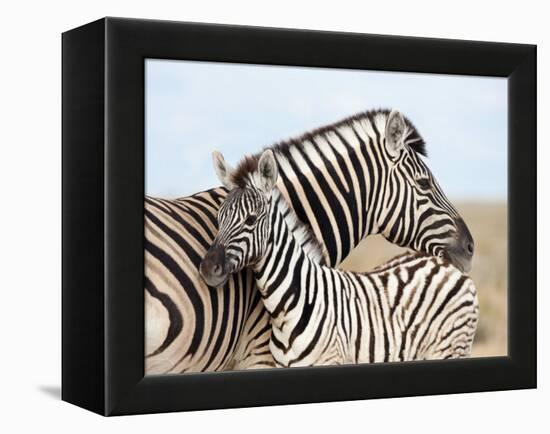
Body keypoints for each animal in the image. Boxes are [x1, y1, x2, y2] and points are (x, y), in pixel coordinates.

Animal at [202, 151, 478, 364]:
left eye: (250, 220)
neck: (290, 306)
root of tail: (447, 265)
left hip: (450, 349)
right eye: (218, 218)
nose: (207, 268)